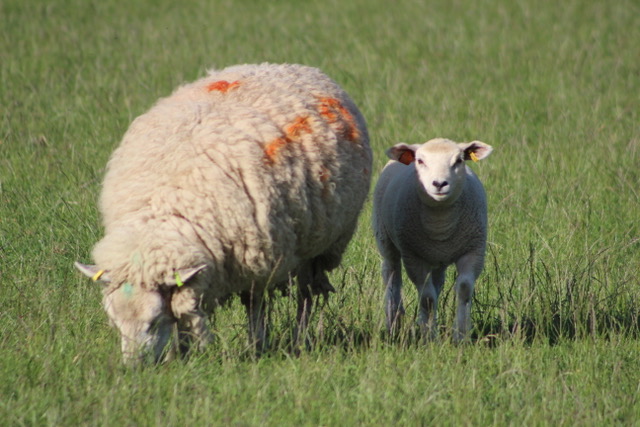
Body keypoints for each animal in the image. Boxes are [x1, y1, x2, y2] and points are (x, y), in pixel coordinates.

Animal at [75, 63, 372, 364]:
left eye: (154, 321)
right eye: (115, 323)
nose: (134, 367)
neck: (163, 210)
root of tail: (290, 66)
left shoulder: (257, 258)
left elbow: (254, 304)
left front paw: (257, 347)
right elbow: (184, 315)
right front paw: (182, 354)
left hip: (319, 247)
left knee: (306, 294)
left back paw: (300, 338)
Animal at [372, 138, 493, 342]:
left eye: (459, 160)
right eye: (420, 161)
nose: (439, 183)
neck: (440, 223)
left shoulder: (473, 250)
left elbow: (464, 289)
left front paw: (461, 336)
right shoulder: (414, 257)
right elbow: (427, 299)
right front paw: (429, 338)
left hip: (437, 258)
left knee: (436, 283)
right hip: (385, 239)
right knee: (391, 275)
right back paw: (394, 322)